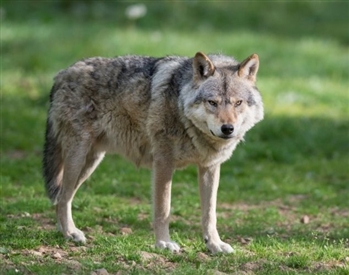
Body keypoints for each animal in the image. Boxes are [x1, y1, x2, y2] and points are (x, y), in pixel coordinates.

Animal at [42, 51, 262, 254]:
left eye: (238, 103)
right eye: (212, 103)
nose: (228, 129)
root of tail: (62, 73)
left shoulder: (209, 167)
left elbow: (210, 214)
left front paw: (215, 245)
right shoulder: (163, 163)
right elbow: (163, 209)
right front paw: (164, 243)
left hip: (90, 162)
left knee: (61, 198)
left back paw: (65, 233)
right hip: (78, 159)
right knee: (62, 197)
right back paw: (70, 233)